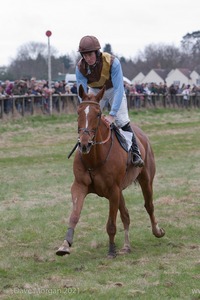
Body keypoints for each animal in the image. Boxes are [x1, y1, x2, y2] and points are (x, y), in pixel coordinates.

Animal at [55, 85, 164, 258]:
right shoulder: (80, 186)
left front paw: (111, 250)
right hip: (121, 190)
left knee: (149, 205)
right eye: (78, 112)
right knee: (126, 215)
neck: (95, 158)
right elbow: (74, 215)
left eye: (98, 114)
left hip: (146, 179)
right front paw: (65, 244)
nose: (84, 143)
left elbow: (111, 224)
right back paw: (126, 246)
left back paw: (157, 231)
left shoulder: (113, 190)